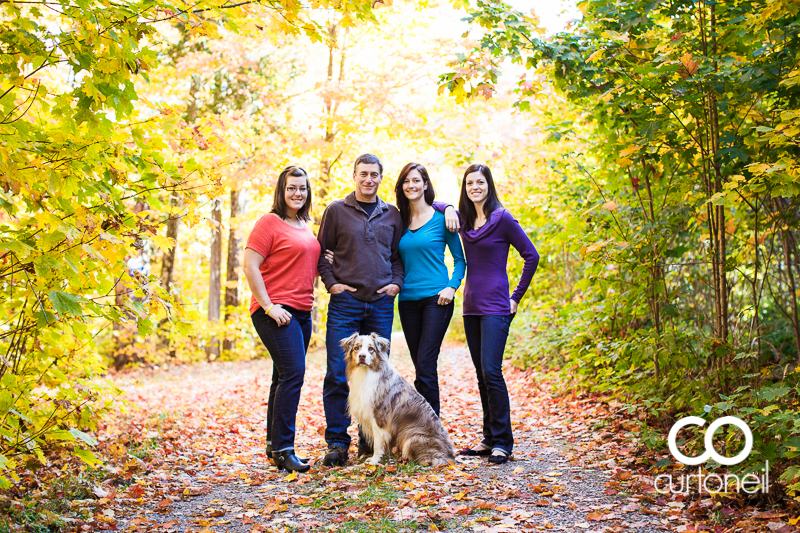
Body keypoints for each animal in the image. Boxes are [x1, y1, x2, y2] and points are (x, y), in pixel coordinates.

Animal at [340, 332, 456, 466]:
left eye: (371, 349)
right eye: (356, 348)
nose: (362, 356)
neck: (367, 372)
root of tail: (450, 456)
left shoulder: (380, 418)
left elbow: (378, 444)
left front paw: (374, 460)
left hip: (413, 436)